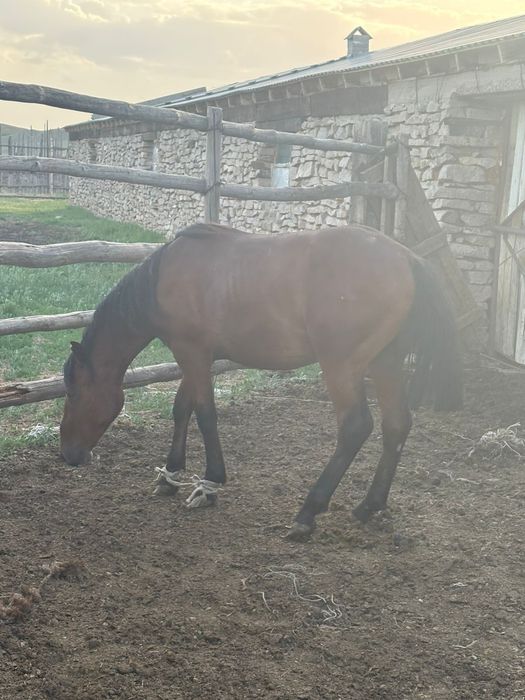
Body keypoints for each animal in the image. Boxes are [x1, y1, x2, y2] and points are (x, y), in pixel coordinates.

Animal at [60, 222, 462, 540]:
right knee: (397, 425)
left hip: (342, 367)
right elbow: (182, 408)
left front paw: (210, 484)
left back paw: (308, 512)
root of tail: (408, 259)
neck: (164, 278)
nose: (68, 455)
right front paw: (170, 475)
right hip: (385, 363)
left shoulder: (192, 354)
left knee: (356, 427)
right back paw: (369, 505)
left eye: (74, 391)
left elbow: (205, 414)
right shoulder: (197, 357)